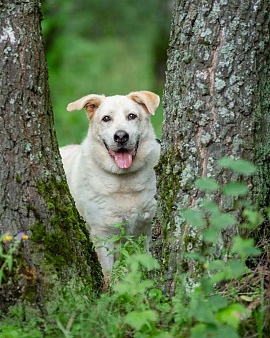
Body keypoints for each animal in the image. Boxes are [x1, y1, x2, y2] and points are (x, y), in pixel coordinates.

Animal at [59, 91, 160, 276]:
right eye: (106, 118)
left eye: (132, 116)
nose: (121, 136)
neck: (124, 181)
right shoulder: (102, 234)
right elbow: (108, 274)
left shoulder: (148, 228)